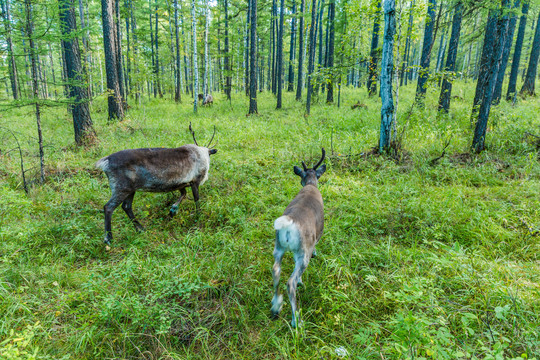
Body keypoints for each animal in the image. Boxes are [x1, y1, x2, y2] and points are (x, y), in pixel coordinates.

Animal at [272, 148, 326, 328]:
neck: (311, 185)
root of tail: (288, 225)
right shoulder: (319, 232)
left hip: (278, 247)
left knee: (276, 270)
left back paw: (276, 306)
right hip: (303, 251)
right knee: (291, 282)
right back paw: (296, 320)